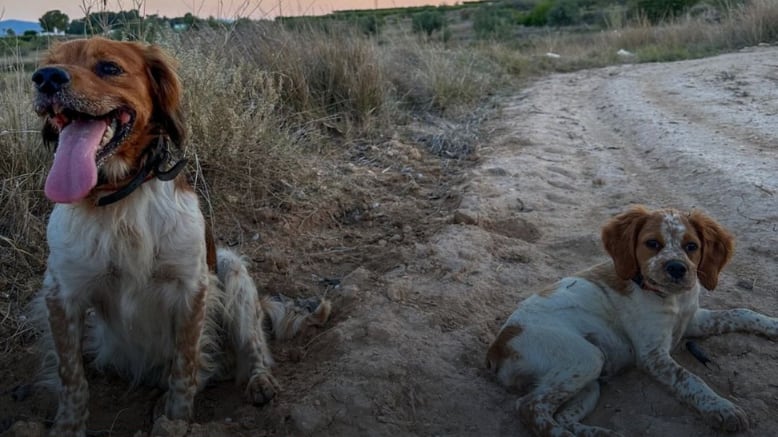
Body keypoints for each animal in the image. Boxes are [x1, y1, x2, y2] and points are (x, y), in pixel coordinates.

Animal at [28, 38, 328, 436]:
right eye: (49, 63)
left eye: (109, 67)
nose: (45, 78)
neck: (121, 197)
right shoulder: (61, 293)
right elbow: (71, 377)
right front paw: (67, 426)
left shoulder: (193, 286)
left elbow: (185, 367)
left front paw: (175, 421)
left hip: (231, 269)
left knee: (254, 345)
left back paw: (259, 381)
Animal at [484, 205, 776, 436]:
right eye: (652, 244)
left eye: (691, 247)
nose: (676, 268)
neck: (670, 297)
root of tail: (497, 348)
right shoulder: (652, 355)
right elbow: (689, 378)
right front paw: (722, 408)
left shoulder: (693, 320)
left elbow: (740, 312)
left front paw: (773, 324)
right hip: (586, 358)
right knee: (530, 407)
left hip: (586, 381)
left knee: (561, 415)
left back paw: (600, 434)